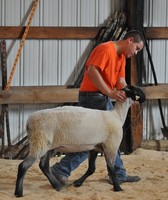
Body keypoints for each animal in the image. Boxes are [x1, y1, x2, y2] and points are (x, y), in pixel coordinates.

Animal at [14, 85, 146, 198]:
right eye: (136, 89)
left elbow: (91, 169)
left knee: (44, 165)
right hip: (39, 143)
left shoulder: (95, 147)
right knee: (23, 166)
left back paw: (57, 186)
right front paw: (118, 188)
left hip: (49, 146)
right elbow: (111, 168)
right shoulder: (111, 146)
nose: (144, 98)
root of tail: (28, 122)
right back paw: (19, 193)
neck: (117, 115)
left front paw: (78, 183)